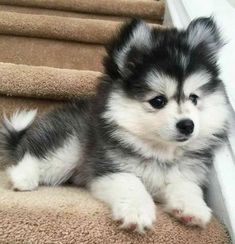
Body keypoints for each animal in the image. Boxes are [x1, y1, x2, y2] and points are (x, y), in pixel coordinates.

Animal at [0, 17, 231, 233]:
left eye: (194, 98)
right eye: (158, 101)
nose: (187, 125)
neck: (160, 152)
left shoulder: (184, 174)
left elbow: (187, 186)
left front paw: (193, 208)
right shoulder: (107, 168)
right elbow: (131, 182)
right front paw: (137, 212)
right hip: (69, 147)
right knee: (30, 156)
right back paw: (22, 178)